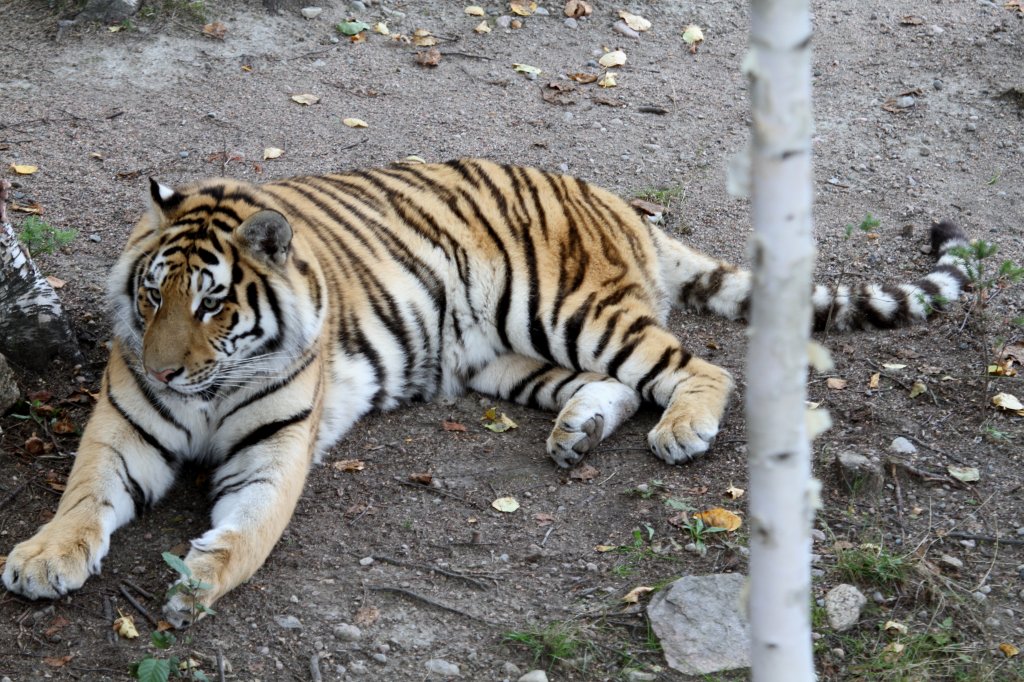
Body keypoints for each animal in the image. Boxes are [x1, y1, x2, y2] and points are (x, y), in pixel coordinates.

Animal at [0, 155, 970, 622]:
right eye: (151, 295)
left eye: (212, 304)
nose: (166, 367)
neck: (207, 385)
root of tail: (616, 202)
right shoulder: (122, 430)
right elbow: (82, 497)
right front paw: (44, 558)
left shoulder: (272, 455)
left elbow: (250, 536)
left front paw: (198, 582)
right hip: (503, 356)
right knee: (616, 387)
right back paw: (578, 432)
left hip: (569, 309)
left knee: (698, 365)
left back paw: (682, 430)